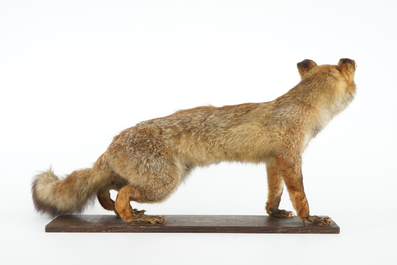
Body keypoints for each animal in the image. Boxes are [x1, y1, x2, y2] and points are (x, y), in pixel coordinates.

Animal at [31, 58, 356, 225]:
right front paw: (310, 218)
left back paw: (124, 210)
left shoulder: (273, 161)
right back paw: (133, 219)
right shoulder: (290, 157)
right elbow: (300, 195)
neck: (304, 108)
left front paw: (275, 214)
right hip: (163, 184)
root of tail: (113, 143)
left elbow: (273, 195)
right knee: (121, 193)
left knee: (104, 189)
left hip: (145, 178)